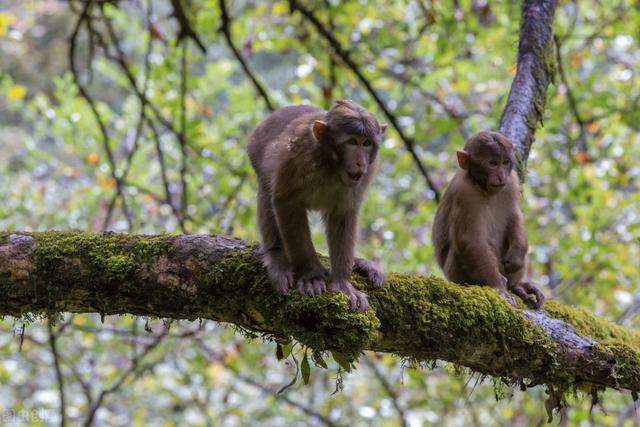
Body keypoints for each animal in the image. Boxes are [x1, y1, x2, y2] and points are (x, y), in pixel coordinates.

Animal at [248, 99, 388, 310]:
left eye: (367, 143)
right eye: (352, 142)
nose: (360, 163)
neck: (332, 166)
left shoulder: (366, 174)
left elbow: (344, 214)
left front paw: (342, 281)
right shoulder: (297, 156)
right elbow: (285, 202)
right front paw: (310, 276)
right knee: (266, 191)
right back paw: (276, 256)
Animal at [430, 131, 544, 310]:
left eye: (505, 162)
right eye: (492, 163)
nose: (501, 175)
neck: (482, 187)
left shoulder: (512, 181)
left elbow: (515, 216)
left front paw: (517, 255)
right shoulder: (464, 192)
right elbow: (470, 240)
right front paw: (498, 286)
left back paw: (517, 286)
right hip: (454, 273)